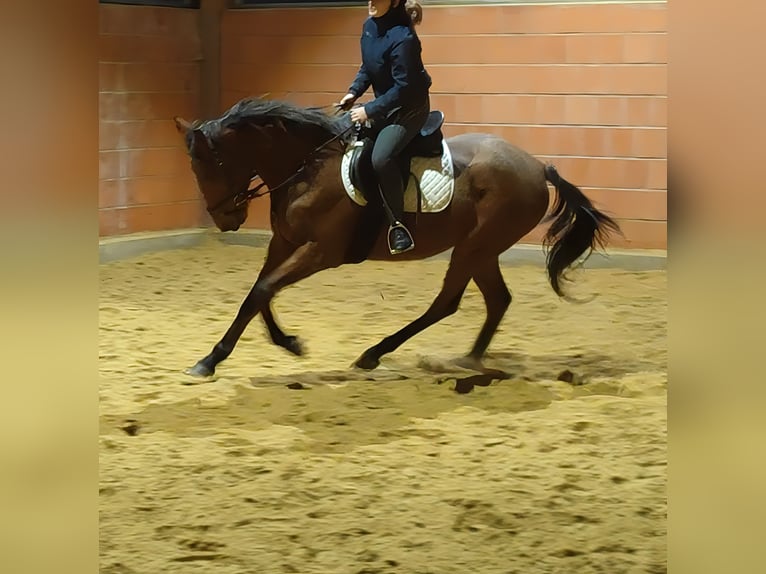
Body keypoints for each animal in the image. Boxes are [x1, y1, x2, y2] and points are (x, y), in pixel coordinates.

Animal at [173, 97, 620, 378]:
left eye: (210, 164)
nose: (225, 219)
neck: (308, 169)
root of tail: (536, 166)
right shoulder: (283, 244)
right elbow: (258, 292)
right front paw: (283, 343)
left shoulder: (321, 251)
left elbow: (264, 289)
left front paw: (213, 360)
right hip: (482, 249)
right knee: (496, 300)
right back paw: (469, 358)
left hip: (476, 245)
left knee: (448, 302)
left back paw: (377, 354)